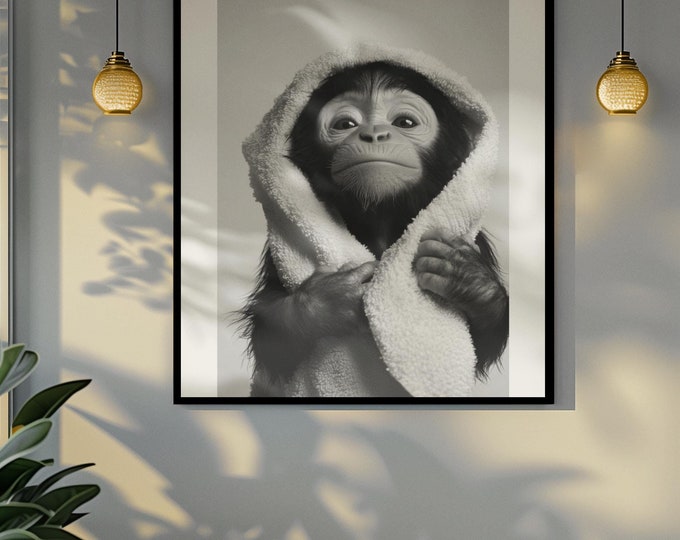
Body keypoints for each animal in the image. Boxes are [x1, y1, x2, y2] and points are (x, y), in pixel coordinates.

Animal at [239, 60, 508, 397]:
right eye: (345, 124)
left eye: (404, 121)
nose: (374, 133)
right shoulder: (274, 260)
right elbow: (270, 338)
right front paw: (326, 300)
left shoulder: (476, 242)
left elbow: (481, 344)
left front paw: (470, 281)